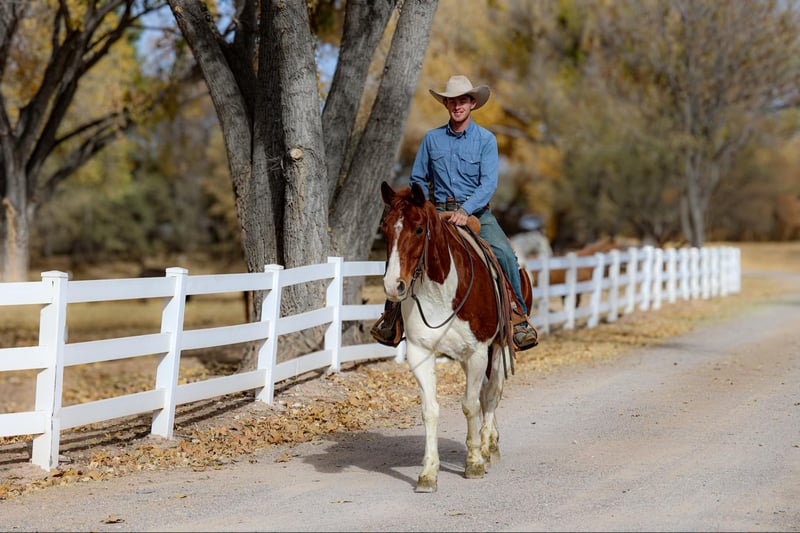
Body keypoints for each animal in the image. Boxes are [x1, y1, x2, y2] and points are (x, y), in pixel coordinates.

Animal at [379, 181, 532, 493]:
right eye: (385, 228)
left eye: (419, 229)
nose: (393, 286)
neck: (441, 291)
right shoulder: (420, 353)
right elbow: (430, 410)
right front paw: (428, 473)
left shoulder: (478, 351)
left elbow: (470, 405)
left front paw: (474, 461)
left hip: (498, 348)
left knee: (491, 393)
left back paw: (488, 446)